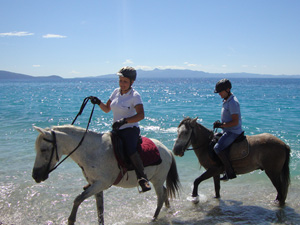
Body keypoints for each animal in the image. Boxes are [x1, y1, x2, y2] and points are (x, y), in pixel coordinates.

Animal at [32, 125, 180, 225]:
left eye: (43, 149)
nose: (35, 176)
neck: (92, 151)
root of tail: (167, 150)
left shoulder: (100, 184)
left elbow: (78, 199)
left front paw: (71, 220)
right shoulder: (95, 186)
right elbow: (100, 210)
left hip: (157, 180)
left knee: (160, 196)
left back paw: (154, 218)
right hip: (157, 180)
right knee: (165, 193)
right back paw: (167, 210)